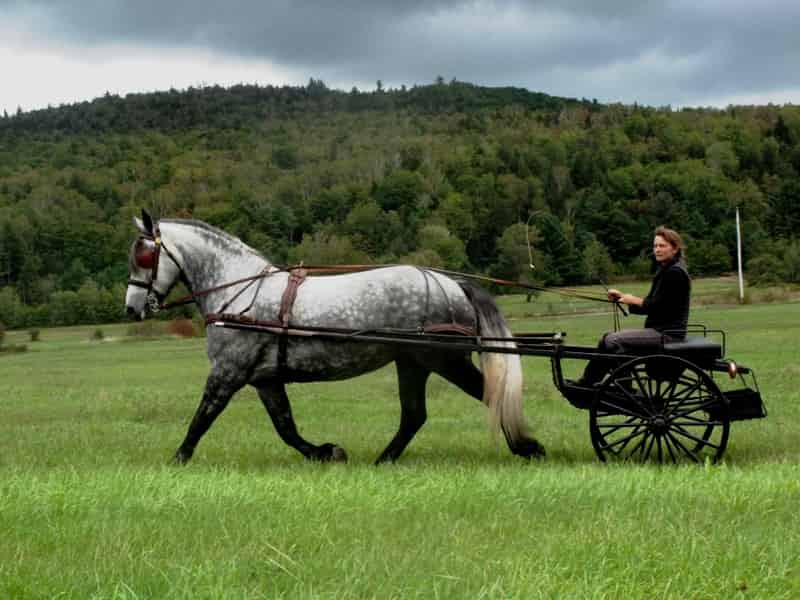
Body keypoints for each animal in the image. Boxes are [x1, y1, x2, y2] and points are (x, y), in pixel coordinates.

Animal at [125, 211, 548, 464]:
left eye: (143, 256)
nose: (132, 309)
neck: (242, 294)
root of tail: (450, 283)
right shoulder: (265, 379)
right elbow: (286, 427)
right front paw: (326, 452)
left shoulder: (227, 373)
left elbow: (202, 418)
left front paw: (177, 460)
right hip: (412, 362)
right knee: (414, 415)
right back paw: (384, 460)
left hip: (443, 360)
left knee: (489, 395)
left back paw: (527, 446)